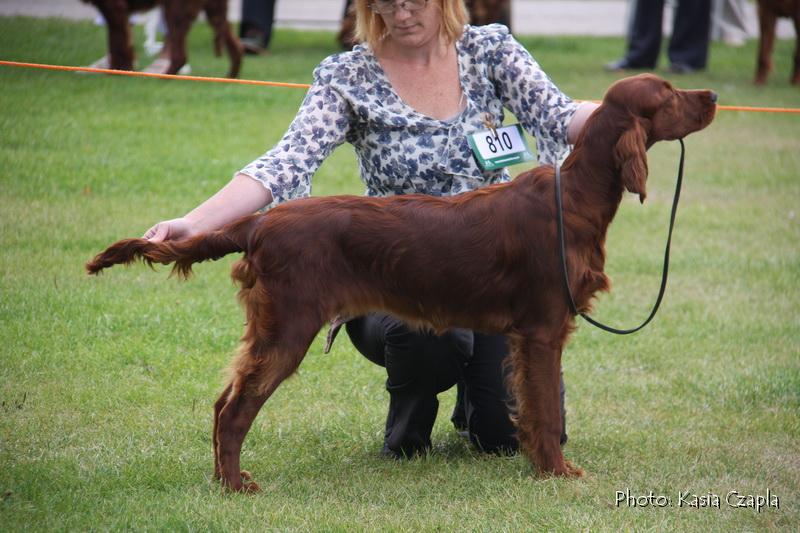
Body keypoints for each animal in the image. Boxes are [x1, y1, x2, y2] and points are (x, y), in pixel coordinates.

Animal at [83, 0, 244, 77]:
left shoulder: (114, 8)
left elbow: (118, 44)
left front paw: (119, 70)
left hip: (175, 11)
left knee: (180, 56)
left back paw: (163, 76)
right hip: (215, 12)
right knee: (236, 46)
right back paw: (230, 77)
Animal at [89, 74, 720, 490]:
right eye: (667, 93)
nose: (712, 96)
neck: (581, 195)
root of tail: (260, 222)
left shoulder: (526, 336)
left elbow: (530, 408)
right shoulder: (543, 330)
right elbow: (545, 411)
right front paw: (557, 472)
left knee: (225, 400)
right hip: (288, 328)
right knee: (234, 408)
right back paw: (234, 483)